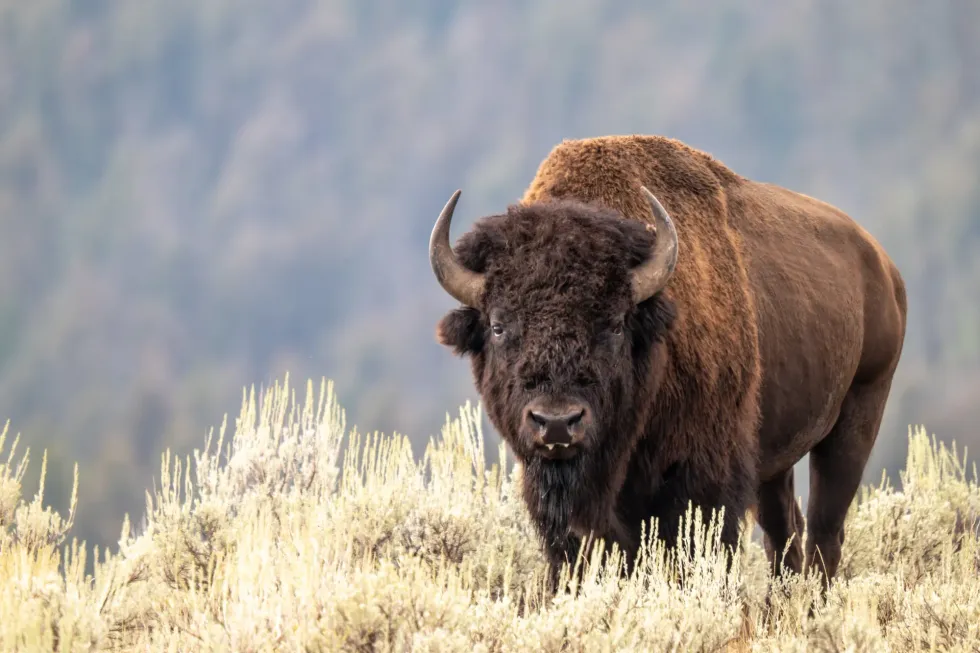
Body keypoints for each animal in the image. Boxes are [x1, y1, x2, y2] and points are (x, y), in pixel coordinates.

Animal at [429, 135, 907, 589]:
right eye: (497, 326)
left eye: (616, 324)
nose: (558, 423)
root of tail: (883, 266)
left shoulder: (704, 481)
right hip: (777, 458)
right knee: (784, 533)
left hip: (858, 417)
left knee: (825, 533)